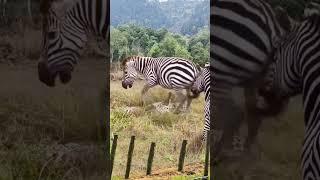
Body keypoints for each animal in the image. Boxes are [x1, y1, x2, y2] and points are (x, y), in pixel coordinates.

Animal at [209, 0, 296, 166]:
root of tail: (272, 25)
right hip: (254, 80)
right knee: (253, 117)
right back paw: (245, 156)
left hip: (221, 69)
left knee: (236, 114)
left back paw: (216, 155)